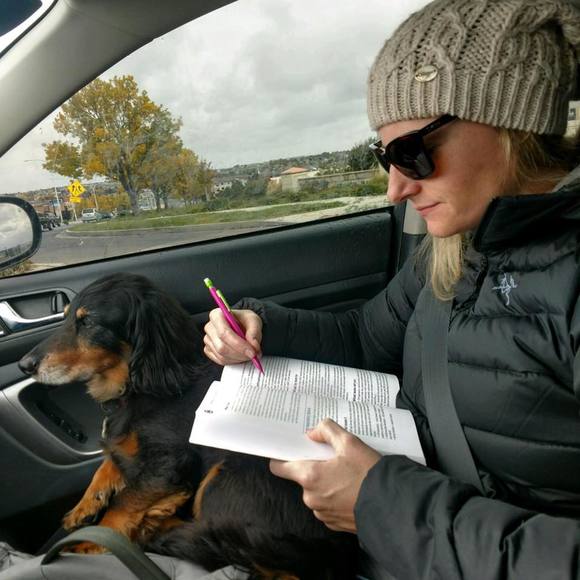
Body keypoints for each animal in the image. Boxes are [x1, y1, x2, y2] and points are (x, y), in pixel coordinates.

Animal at [18, 273, 358, 579]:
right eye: (65, 317)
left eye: (89, 322)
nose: (25, 365)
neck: (139, 384)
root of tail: (339, 555)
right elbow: (110, 462)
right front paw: (86, 504)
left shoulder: (170, 462)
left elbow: (124, 503)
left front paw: (92, 540)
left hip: (225, 478)